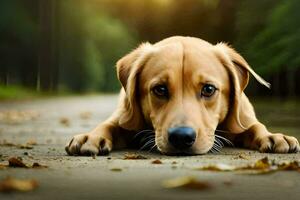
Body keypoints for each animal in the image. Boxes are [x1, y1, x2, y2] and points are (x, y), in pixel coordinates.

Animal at [65, 35, 300, 155]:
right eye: (160, 89)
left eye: (208, 89)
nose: (181, 137)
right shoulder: (123, 117)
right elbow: (109, 125)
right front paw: (91, 137)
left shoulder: (243, 119)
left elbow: (254, 126)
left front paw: (273, 136)